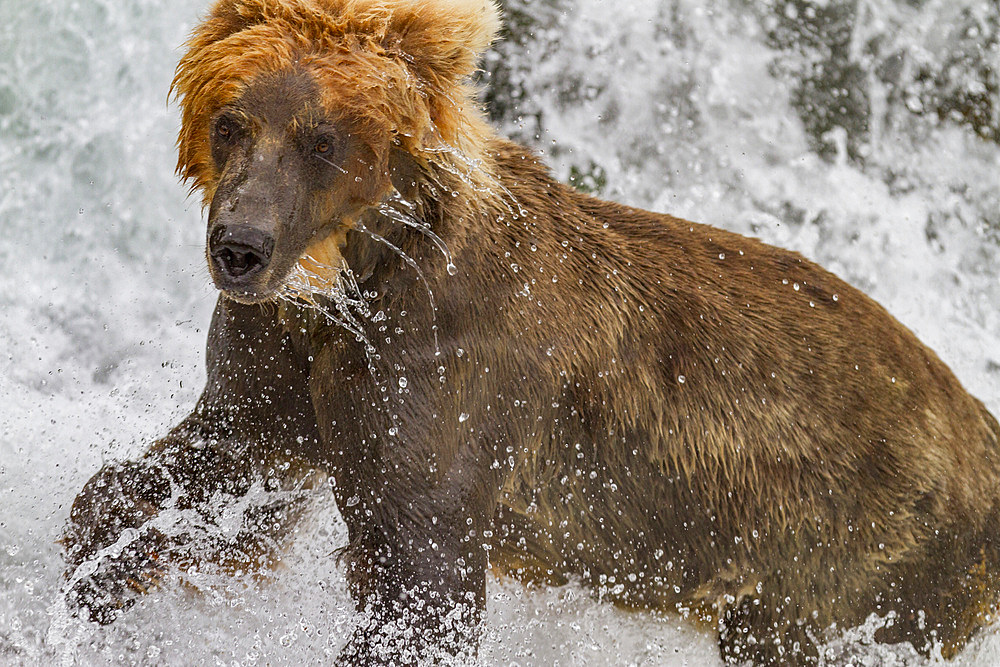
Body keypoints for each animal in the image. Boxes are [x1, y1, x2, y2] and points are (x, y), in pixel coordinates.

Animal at [64, 0, 1000, 664]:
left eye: (320, 140)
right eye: (230, 122)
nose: (241, 246)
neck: (357, 278)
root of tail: (978, 424)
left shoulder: (443, 370)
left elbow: (420, 578)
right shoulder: (285, 365)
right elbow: (209, 470)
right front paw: (90, 577)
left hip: (851, 559)